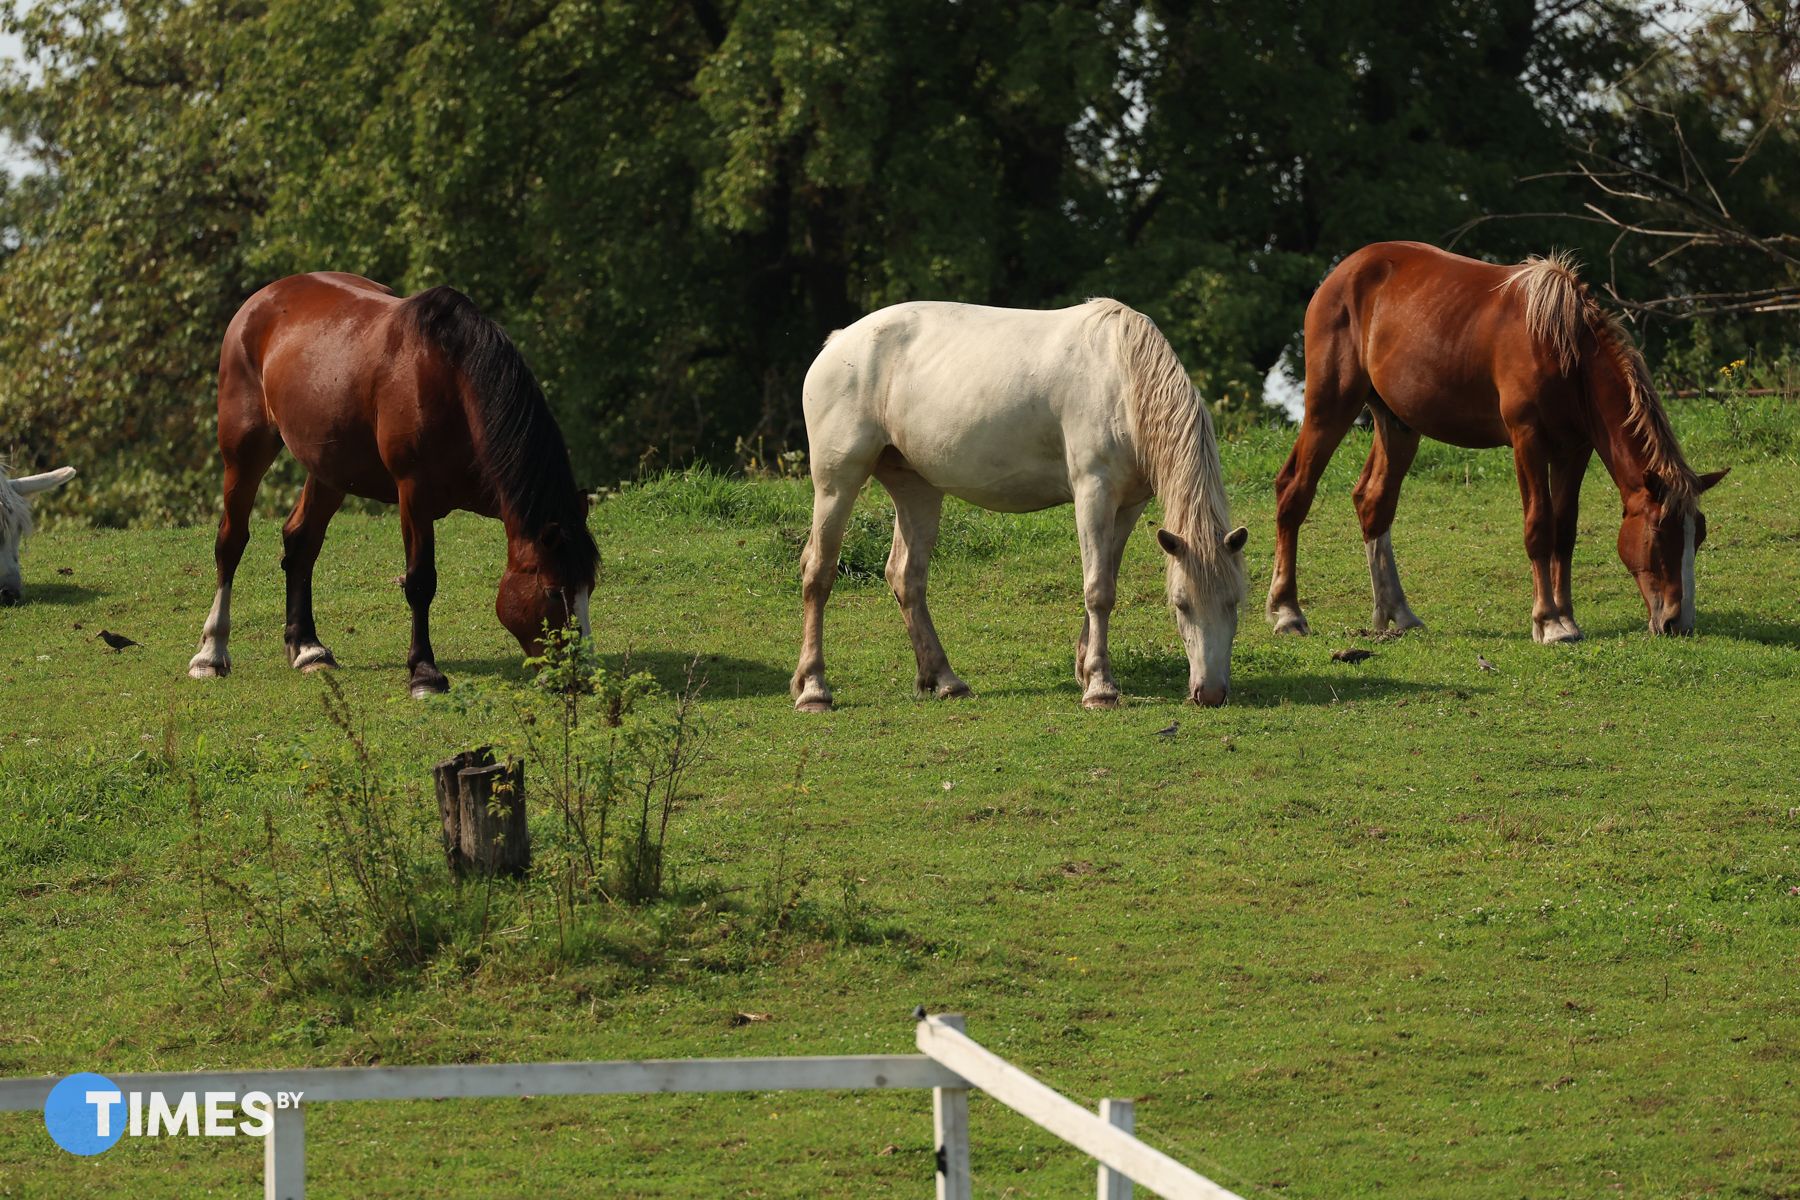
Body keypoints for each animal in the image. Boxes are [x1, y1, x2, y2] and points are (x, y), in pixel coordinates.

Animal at [187, 273, 599, 697]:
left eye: (589, 587)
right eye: (551, 591)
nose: (580, 676)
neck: (452, 381)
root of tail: (265, 296)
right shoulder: (413, 494)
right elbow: (420, 582)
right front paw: (424, 673)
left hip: (330, 468)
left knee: (301, 542)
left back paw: (307, 648)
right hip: (244, 451)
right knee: (231, 541)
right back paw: (211, 653)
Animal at [791, 298, 1248, 712]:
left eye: (1235, 602)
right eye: (1181, 604)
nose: (1210, 694)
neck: (1121, 377)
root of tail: (838, 342)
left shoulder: (1128, 506)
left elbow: (1107, 580)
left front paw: (1086, 668)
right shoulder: (1093, 492)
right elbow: (1098, 590)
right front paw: (1100, 688)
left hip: (916, 488)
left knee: (906, 577)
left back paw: (944, 680)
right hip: (836, 483)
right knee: (819, 572)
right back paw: (814, 690)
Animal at [1267, 242, 1725, 644]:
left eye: (1698, 535)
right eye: (1659, 533)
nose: (1678, 623)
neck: (1563, 349)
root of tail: (1341, 274)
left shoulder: (1575, 450)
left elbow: (1564, 531)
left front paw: (1567, 617)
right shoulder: (1528, 440)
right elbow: (1539, 526)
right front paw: (1549, 623)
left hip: (1397, 424)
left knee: (1373, 503)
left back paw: (1397, 614)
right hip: (1330, 407)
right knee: (1295, 490)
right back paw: (1287, 612)